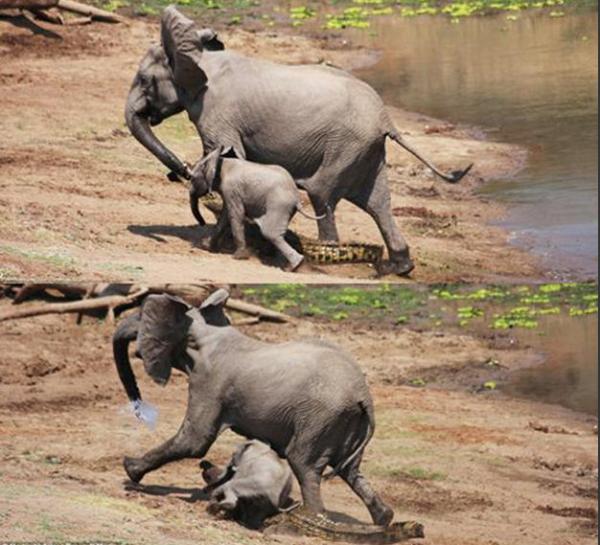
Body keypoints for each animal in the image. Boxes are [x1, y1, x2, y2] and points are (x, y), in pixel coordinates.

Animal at [191, 146, 324, 270]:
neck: (220, 161)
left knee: (269, 232)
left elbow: (236, 215)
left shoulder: (232, 189)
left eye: (192, 178)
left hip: (279, 206)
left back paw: (293, 266)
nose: (202, 223)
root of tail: (297, 199)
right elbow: (225, 217)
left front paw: (238, 257)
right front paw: (206, 246)